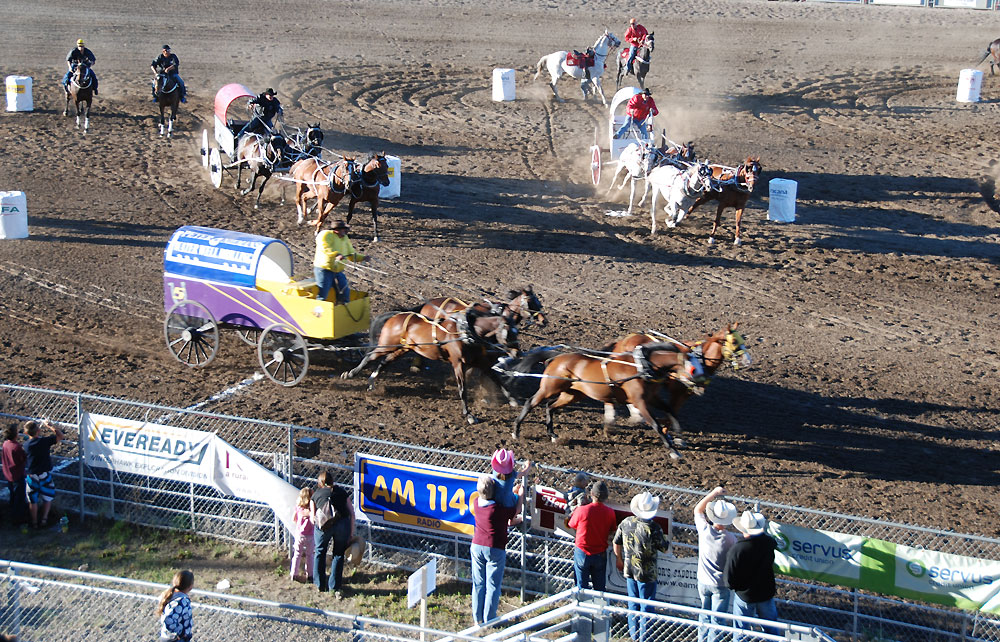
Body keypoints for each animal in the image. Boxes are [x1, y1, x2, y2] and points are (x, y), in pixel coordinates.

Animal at [342, 308, 520, 422]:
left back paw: (371, 382)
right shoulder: (458, 364)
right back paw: (350, 374)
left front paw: (512, 400)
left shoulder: (481, 362)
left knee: (384, 362)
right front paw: (468, 415)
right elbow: (462, 390)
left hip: (403, 349)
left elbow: (497, 379)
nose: (517, 352)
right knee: (370, 357)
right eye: (509, 333)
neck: (467, 332)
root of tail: (396, 315)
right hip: (387, 345)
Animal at [508, 342, 696, 458]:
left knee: (550, 406)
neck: (642, 367)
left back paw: (552, 434)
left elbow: (670, 411)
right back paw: (516, 431)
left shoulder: (652, 398)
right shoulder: (640, 402)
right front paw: (673, 451)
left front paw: (677, 435)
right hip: (549, 388)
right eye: (694, 367)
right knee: (531, 403)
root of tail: (556, 358)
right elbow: (656, 424)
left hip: (572, 394)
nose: (693, 383)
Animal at [608, 322, 752, 432]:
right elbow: (670, 411)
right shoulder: (676, 391)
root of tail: (624, 340)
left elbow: (673, 412)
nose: (748, 361)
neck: (701, 360)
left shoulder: (685, 394)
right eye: (734, 341)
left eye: (743, 340)